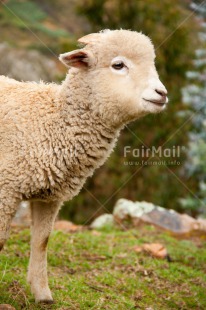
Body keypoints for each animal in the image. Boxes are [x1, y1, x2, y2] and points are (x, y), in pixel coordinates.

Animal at [0, 29, 167, 302]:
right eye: (118, 65)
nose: (161, 93)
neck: (50, 121)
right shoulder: (6, 188)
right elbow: (2, 239)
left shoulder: (50, 197)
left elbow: (41, 241)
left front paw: (42, 294)